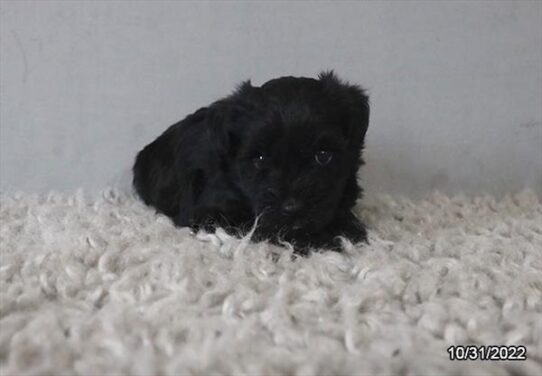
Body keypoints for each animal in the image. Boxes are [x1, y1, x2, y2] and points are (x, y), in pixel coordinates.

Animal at [133, 71, 370, 253]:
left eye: (323, 155)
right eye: (260, 158)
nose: (292, 208)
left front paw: (350, 231)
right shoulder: (213, 214)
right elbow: (266, 228)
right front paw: (321, 241)